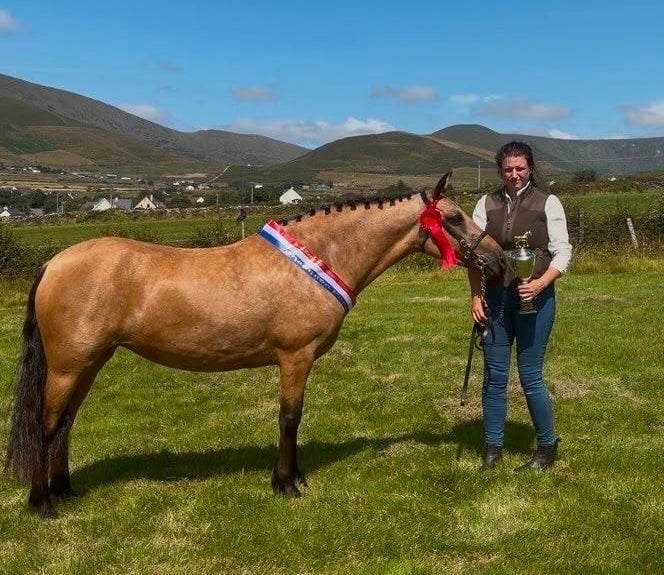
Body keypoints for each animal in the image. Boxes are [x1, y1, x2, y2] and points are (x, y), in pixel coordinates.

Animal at [4, 173, 504, 517]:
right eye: (454, 218)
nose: (498, 259)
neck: (319, 259)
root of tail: (54, 262)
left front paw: (296, 476)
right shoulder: (295, 357)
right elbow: (289, 418)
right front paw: (286, 484)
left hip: (90, 363)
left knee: (66, 423)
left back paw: (66, 491)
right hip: (68, 366)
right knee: (46, 423)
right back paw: (43, 503)